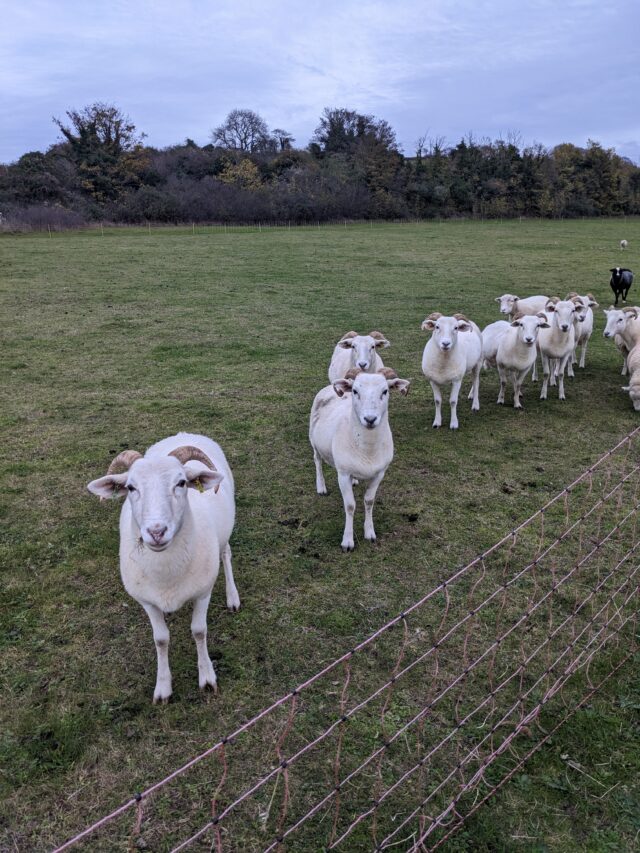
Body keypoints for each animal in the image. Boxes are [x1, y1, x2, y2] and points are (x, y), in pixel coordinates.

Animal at [87, 433, 240, 703]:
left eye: (181, 483)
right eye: (130, 487)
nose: (157, 532)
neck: (167, 574)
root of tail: (185, 433)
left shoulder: (203, 592)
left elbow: (199, 631)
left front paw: (207, 677)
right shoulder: (146, 601)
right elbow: (160, 639)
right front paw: (163, 687)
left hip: (225, 532)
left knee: (226, 554)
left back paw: (233, 596)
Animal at [309, 367, 409, 551]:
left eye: (385, 391)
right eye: (355, 391)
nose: (370, 419)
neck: (367, 449)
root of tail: (330, 388)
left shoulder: (380, 474)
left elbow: (369, 501)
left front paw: (369, 532)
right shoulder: (343, 474)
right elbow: (350, 506)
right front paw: (347, 541)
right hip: (313, 440)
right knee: (317, 460)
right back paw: (321, 486)